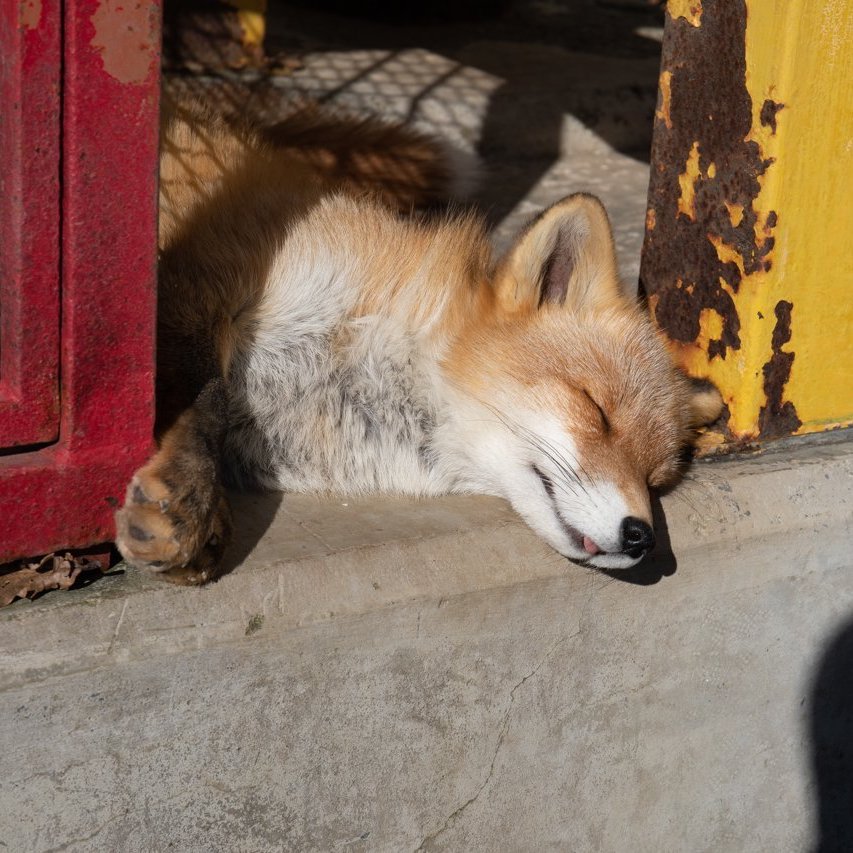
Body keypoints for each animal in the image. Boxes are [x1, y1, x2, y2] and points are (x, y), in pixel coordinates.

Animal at [116, 96, 724, 584]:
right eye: (596, 411)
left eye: (655, 477)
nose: (641, 535)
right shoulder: (204, 271)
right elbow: (204, 390)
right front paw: (191, 500)